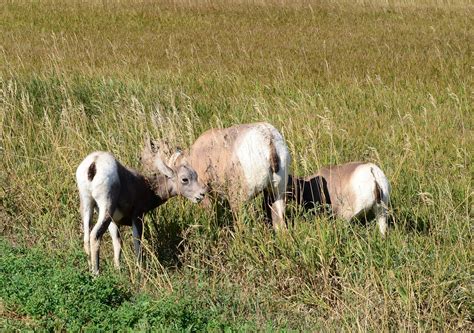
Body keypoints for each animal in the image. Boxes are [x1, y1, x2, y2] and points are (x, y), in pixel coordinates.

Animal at [75, 140, 206, 272]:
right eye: (185, 179)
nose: (201, 194)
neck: (147, 187)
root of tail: (94, 163)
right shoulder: (137, 217)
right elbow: (137, 242)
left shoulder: (114, 222)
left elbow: (117, 243)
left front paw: (118, 269)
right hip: (106, 208)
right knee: (95, 235)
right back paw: (96, 273)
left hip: (87, 205)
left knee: (87, 238)